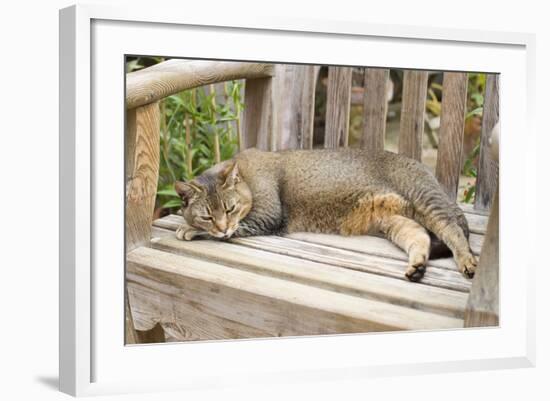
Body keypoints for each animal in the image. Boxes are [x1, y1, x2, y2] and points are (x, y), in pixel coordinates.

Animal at [175, 147, 476, 282]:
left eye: (230, 208)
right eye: (208, 215)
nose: (221, 225)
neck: (247, 177)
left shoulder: (268, 216)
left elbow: (233, 230)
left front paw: (188, 229)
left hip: (425, 199)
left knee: (452, 230)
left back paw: (467, 262)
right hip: (395, 220)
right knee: (420, 236)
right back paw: (417, 267)